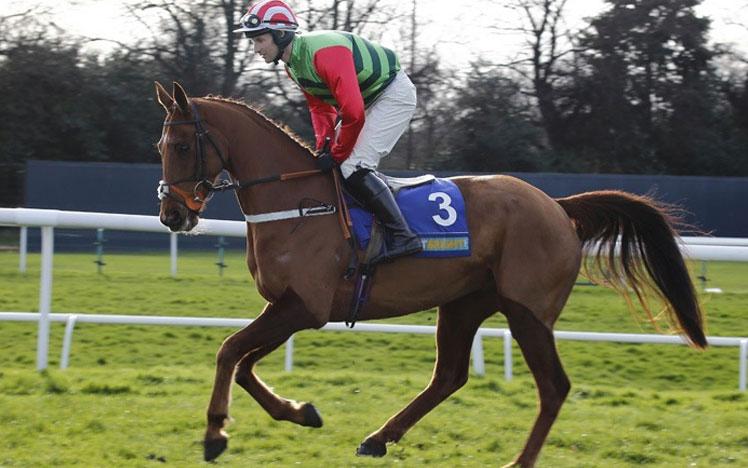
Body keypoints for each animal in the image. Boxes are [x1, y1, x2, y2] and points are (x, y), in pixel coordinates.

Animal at [154, 81, 706, 467]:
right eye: (161, 146)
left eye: (180, 146)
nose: (172, 215)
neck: (296, 202)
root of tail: (557, 205)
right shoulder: (293, 308)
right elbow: (244, 364)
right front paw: (301, 411)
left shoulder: (303, 306)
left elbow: (230, 352)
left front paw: (215, 434)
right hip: (463, 304)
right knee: (449, 376)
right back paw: (379, 438)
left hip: (528, 311)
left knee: (553, 387)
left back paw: (518, 461)